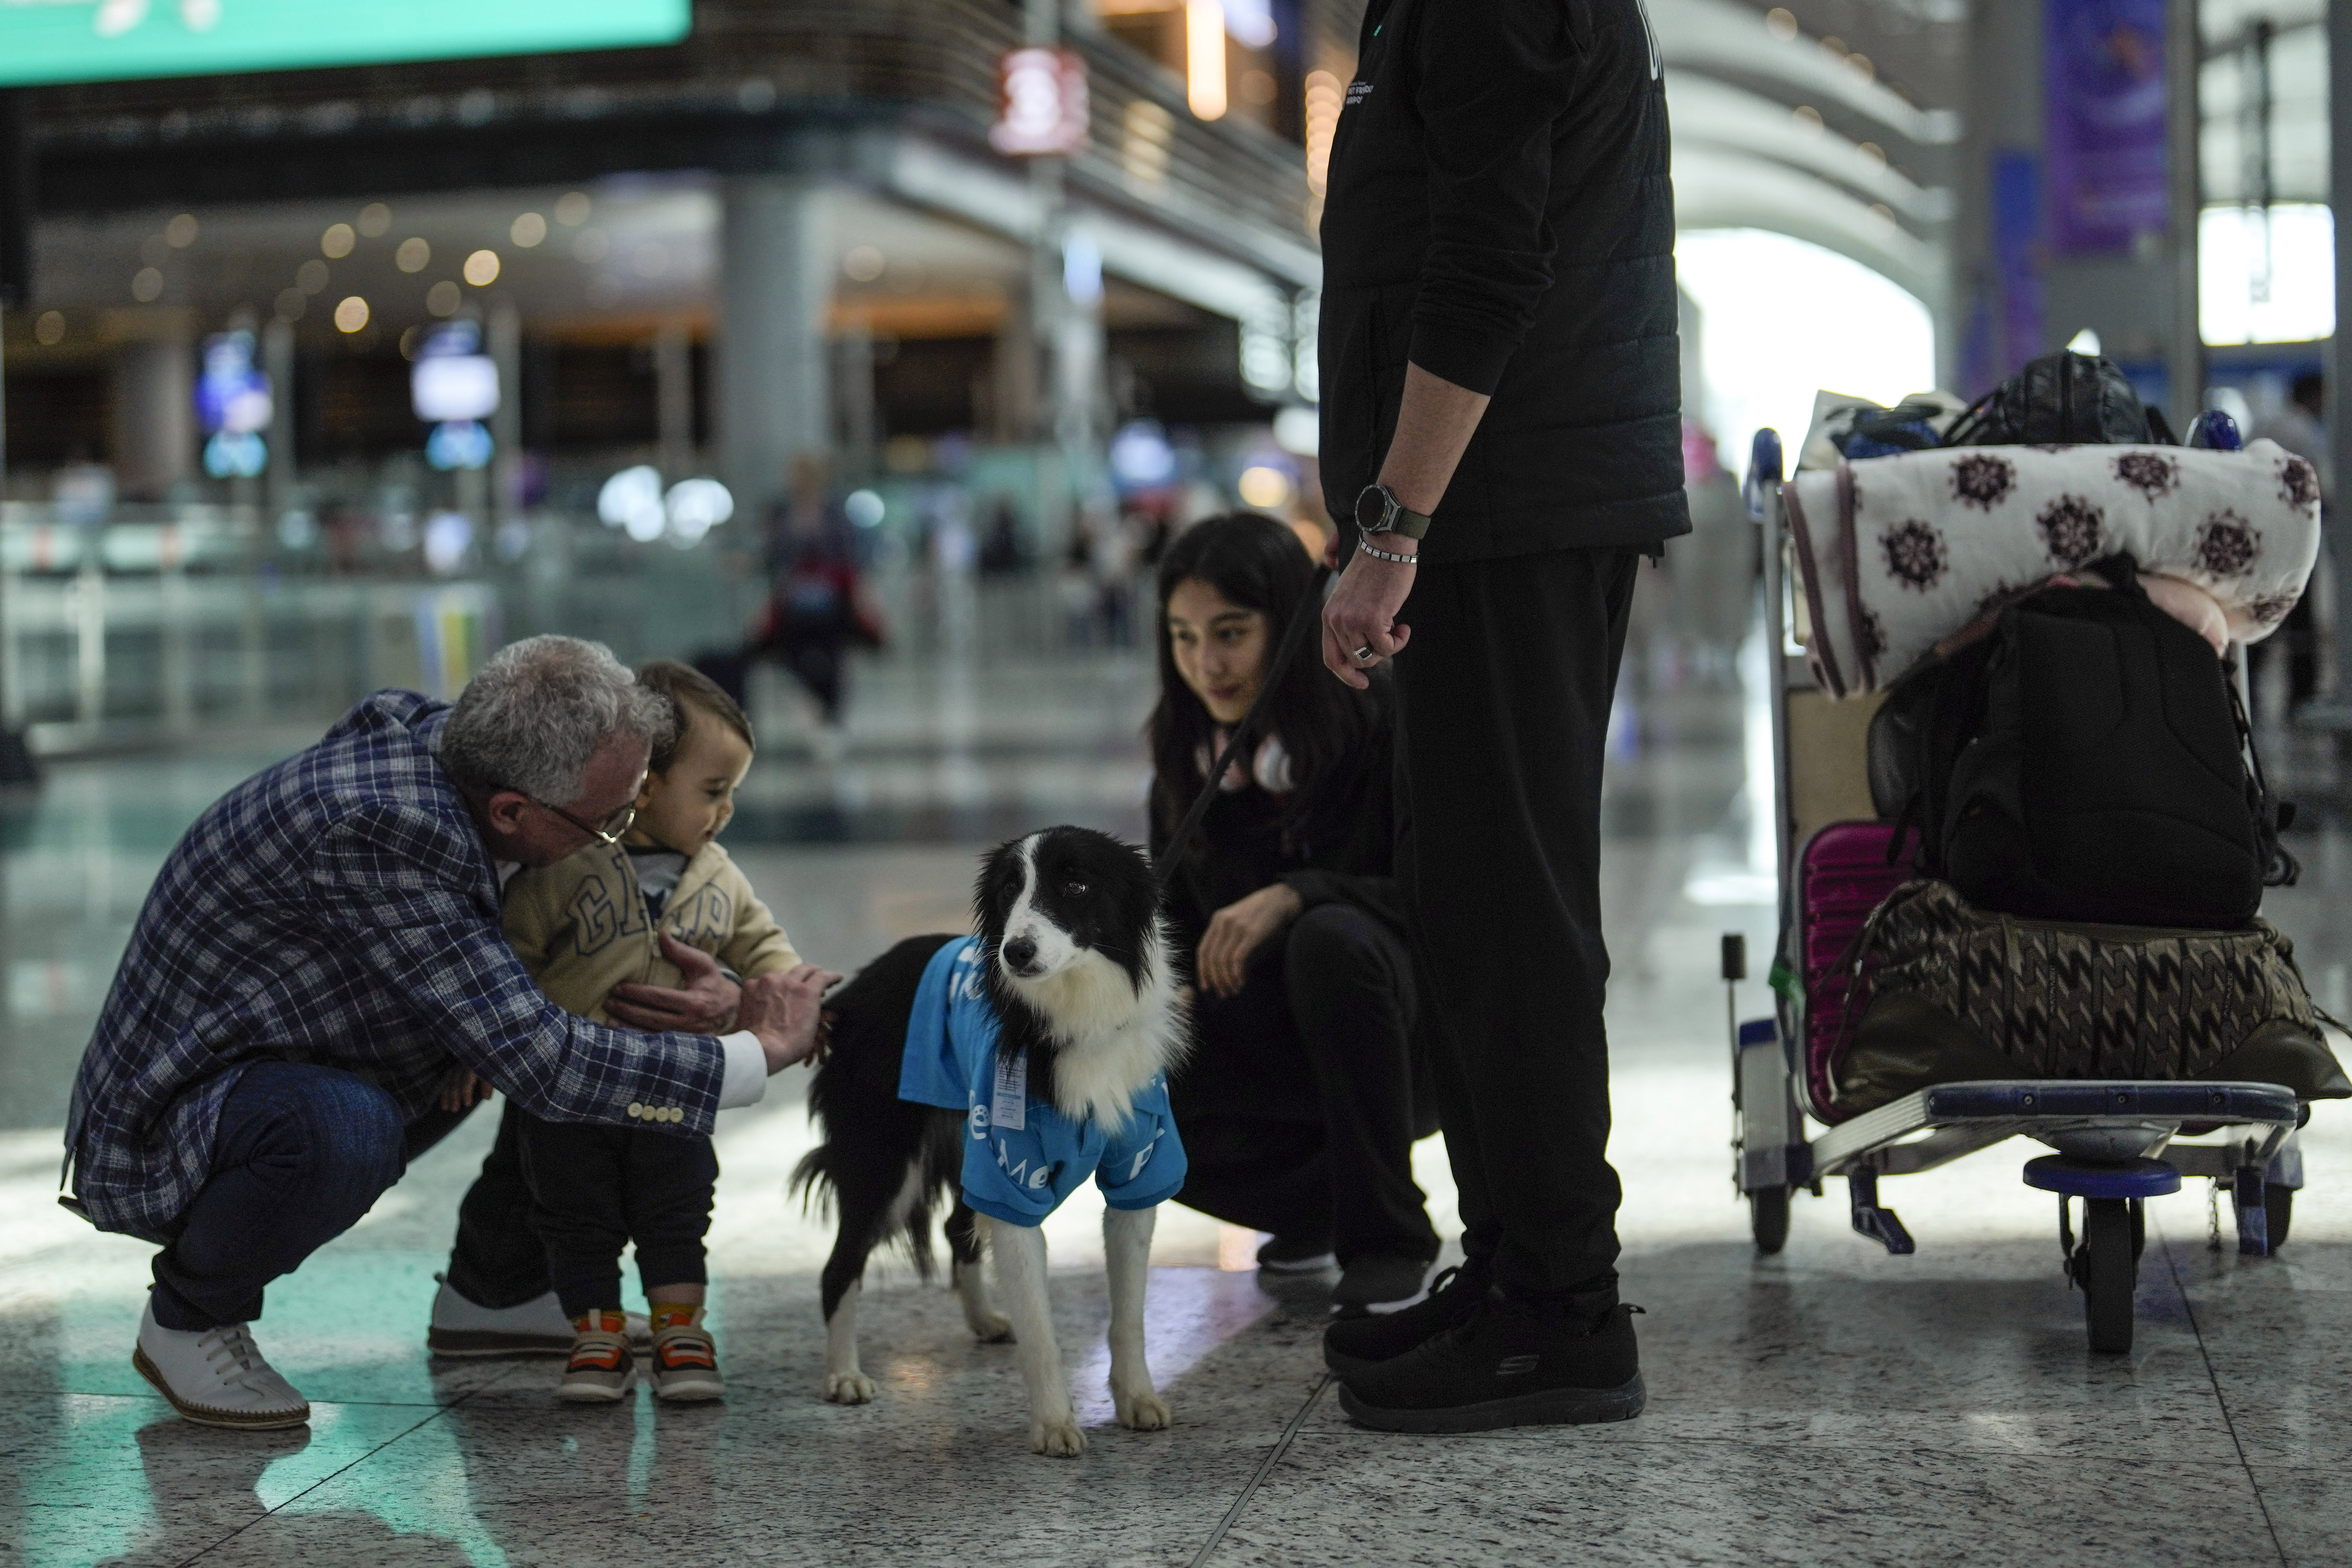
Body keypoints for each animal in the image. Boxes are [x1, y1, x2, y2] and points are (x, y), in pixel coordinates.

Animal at [795, 827, 1195, 1457]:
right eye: (1010, 889)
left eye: (1076, 885)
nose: (1016, 953)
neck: (1073, 1012)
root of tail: (849, 992)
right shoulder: (1014, 1180)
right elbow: (1040, 1326)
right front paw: (1054, 1424)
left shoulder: (1138, 1168)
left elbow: (1129, 1314)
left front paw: (1136, 1399)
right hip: (885, 1161)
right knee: (840, 1267)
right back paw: (844, 1376)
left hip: (964, 1144)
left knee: (953, 1229)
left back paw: (983, 1321)